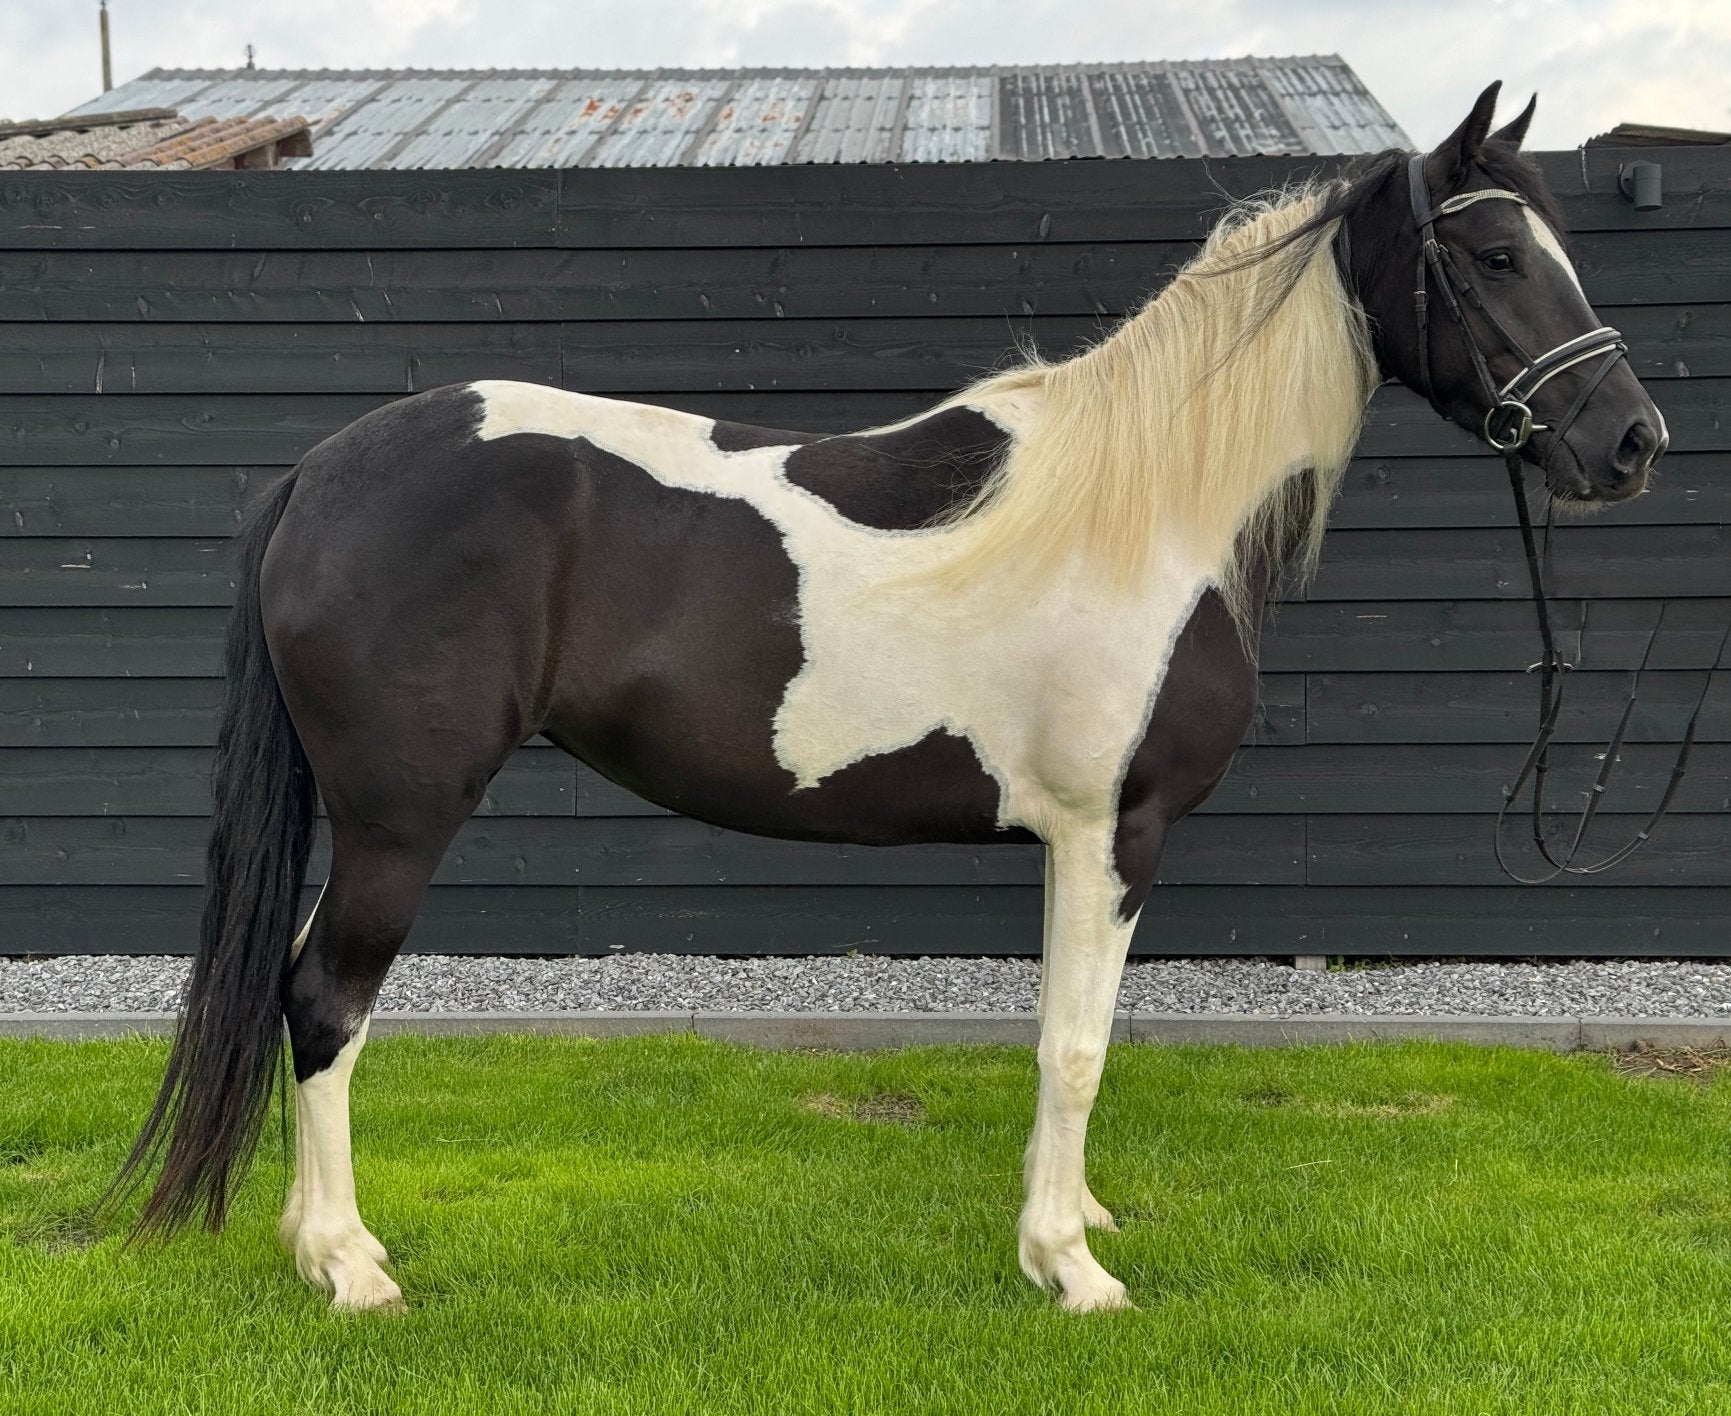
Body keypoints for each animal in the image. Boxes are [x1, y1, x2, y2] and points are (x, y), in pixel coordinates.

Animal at [107, 82, 1666, 1314]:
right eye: (1490, 254)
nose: (1630, 443)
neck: (1151, 511)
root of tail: (323, 472)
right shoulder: (1117, 834)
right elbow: (1077, 1046)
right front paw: (1072, 1272)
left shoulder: (1069, 845)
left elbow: (1057, 1040)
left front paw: (1066, 1225)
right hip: (398, 820)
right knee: (324, 1001)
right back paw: (350, 1270)